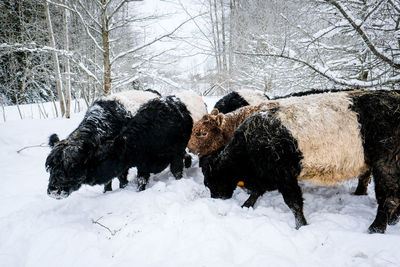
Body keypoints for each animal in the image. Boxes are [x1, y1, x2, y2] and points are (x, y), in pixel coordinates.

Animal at [202, 90, 400, 234]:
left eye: (211, 182)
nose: (216, 199)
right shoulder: (267, 174)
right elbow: (257, 192)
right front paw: (246, 205)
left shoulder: (285, 176)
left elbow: (294, 203)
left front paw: (301, 226)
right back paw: (393, 220)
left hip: (387, 164)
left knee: (389, 198)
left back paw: (376, 228)